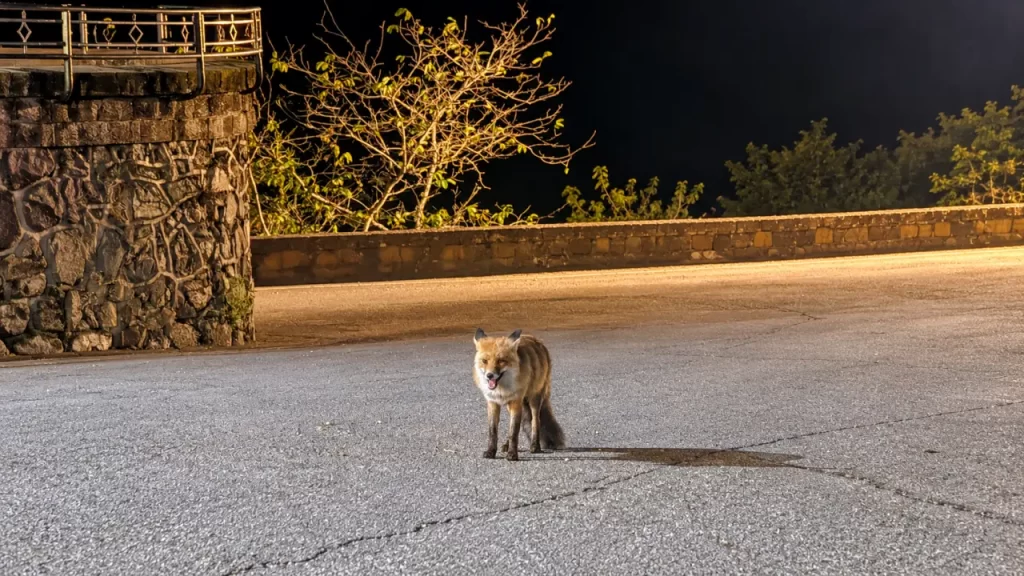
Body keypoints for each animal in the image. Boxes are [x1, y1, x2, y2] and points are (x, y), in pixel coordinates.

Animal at [472, 328, 566, 461]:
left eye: (501, 361)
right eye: (484, 361)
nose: (489, 375)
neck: (501, 389)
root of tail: (538, 341)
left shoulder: (516, 401)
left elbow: (514, 432)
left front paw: (512, 454)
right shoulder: (493, 403)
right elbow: (493, 432)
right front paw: (491, 452)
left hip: (534, 399)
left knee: (535, 421)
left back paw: (535, 446)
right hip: (512, 405)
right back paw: (506, 445)